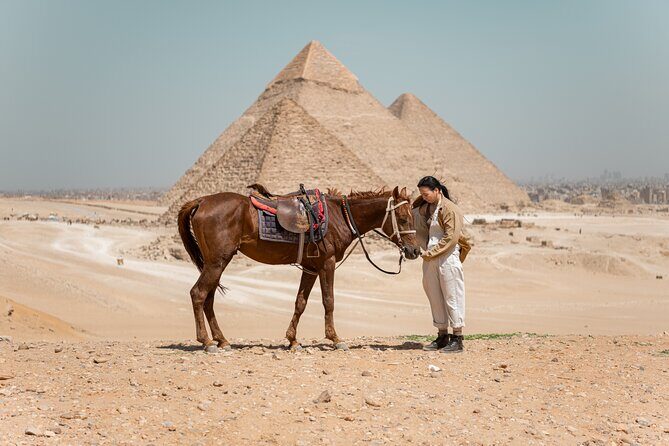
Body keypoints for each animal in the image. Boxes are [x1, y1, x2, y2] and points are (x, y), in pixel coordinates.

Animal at [177, 185, 421, 352]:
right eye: (403, 218)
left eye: (411, 217)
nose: (414, 251)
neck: (339, 216)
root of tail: (202, 200)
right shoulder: (327, 263)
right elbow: (329, 300)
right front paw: (335, 338)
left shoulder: (310, 267)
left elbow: (300, 302)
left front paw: (292, 340)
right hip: (218, 261)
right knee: (198, 293)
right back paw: (207, 341)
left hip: (216, 262)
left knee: (208, 298)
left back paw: (222, 340)